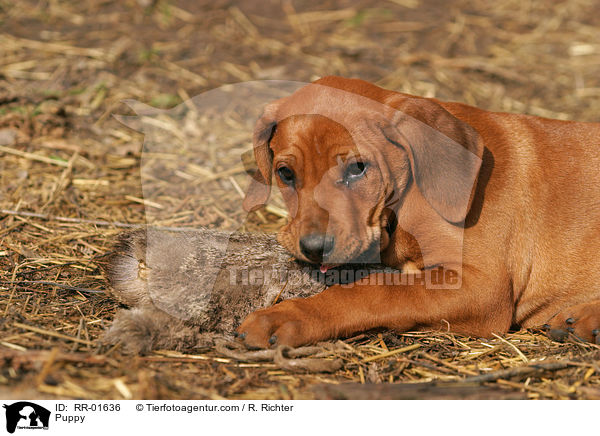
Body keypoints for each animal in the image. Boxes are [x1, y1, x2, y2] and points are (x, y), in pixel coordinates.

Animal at [236, 75, 600, 348]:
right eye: (285, 174)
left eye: (357, 168)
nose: (314, 249)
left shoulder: (482, 285)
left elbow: (377, 291)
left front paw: (288, 316)